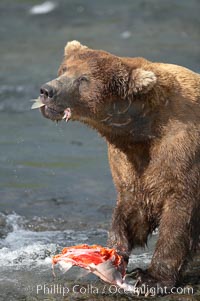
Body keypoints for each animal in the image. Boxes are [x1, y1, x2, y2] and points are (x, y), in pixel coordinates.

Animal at [38, 39, 200, 290]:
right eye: (64, 69)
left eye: (83, 79)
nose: (47, 90)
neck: (142, 128)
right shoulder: (129, 162)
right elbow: (131, 206)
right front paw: (115, 253)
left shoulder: (182, 150)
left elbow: (179, 216)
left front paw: (151, 278)